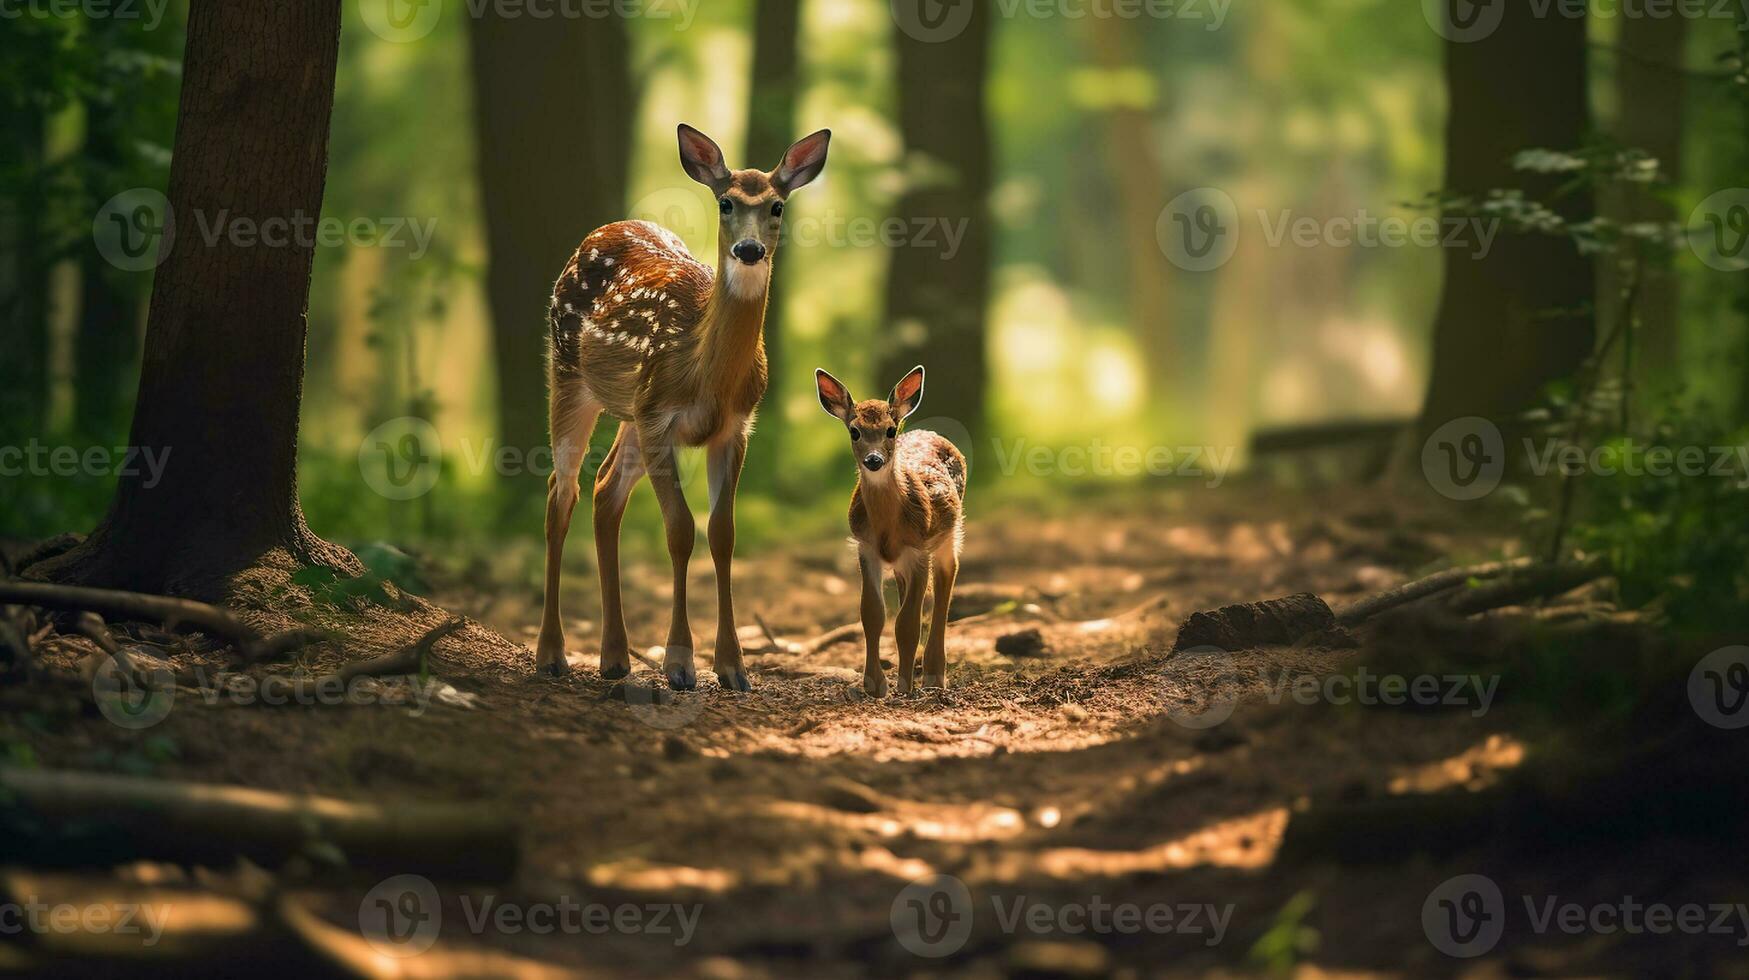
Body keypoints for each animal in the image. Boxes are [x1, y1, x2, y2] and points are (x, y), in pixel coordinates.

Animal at [535, 124, 829, 689]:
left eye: (777, 206)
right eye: (725, 202)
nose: (749, 249)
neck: (705, 374)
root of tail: (598, 232)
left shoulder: (734, 427)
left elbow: (722, 534)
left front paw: (733, 667)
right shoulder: (659, 420)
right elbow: (679, 531)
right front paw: (679, 663)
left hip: (631, 410)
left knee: (604, 490)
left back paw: (614, 657)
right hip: (568, 376)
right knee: (562, 493)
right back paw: (551, 655)